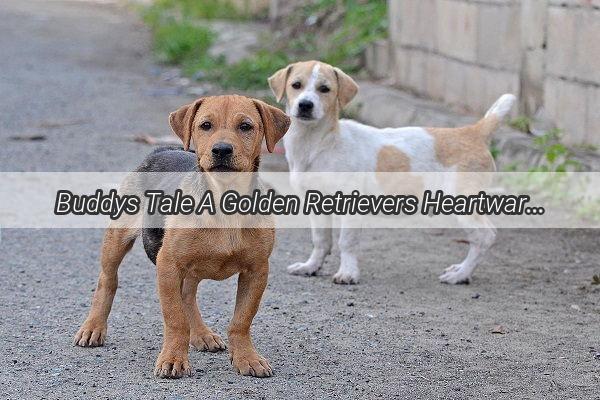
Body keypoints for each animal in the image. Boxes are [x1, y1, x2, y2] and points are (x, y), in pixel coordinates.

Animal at [74, 95, 290, 380]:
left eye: (246, 126)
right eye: (205, 125)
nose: (222, 150)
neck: (224, 199)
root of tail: (161, 149)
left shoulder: (257, 270)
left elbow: (241, 320)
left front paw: (247, 358)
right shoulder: (168, 264)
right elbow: (175, 318)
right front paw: (173, 359)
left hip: (192, 266)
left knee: (187, 295)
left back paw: (201, 335)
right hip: (118, 238)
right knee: (107, 281)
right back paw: (93, 328)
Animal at [268, 60, 516, 284]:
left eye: (324, 89)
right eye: (296, 85)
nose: (305, 105)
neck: (318, 144)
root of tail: (473, 132)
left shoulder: (349, 204)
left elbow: (346, 242)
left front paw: (348, 273)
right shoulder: (315, 204)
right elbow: (320, 241)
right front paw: (311, 266)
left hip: (462, 202)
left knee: (485, 237)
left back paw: (461, 274)